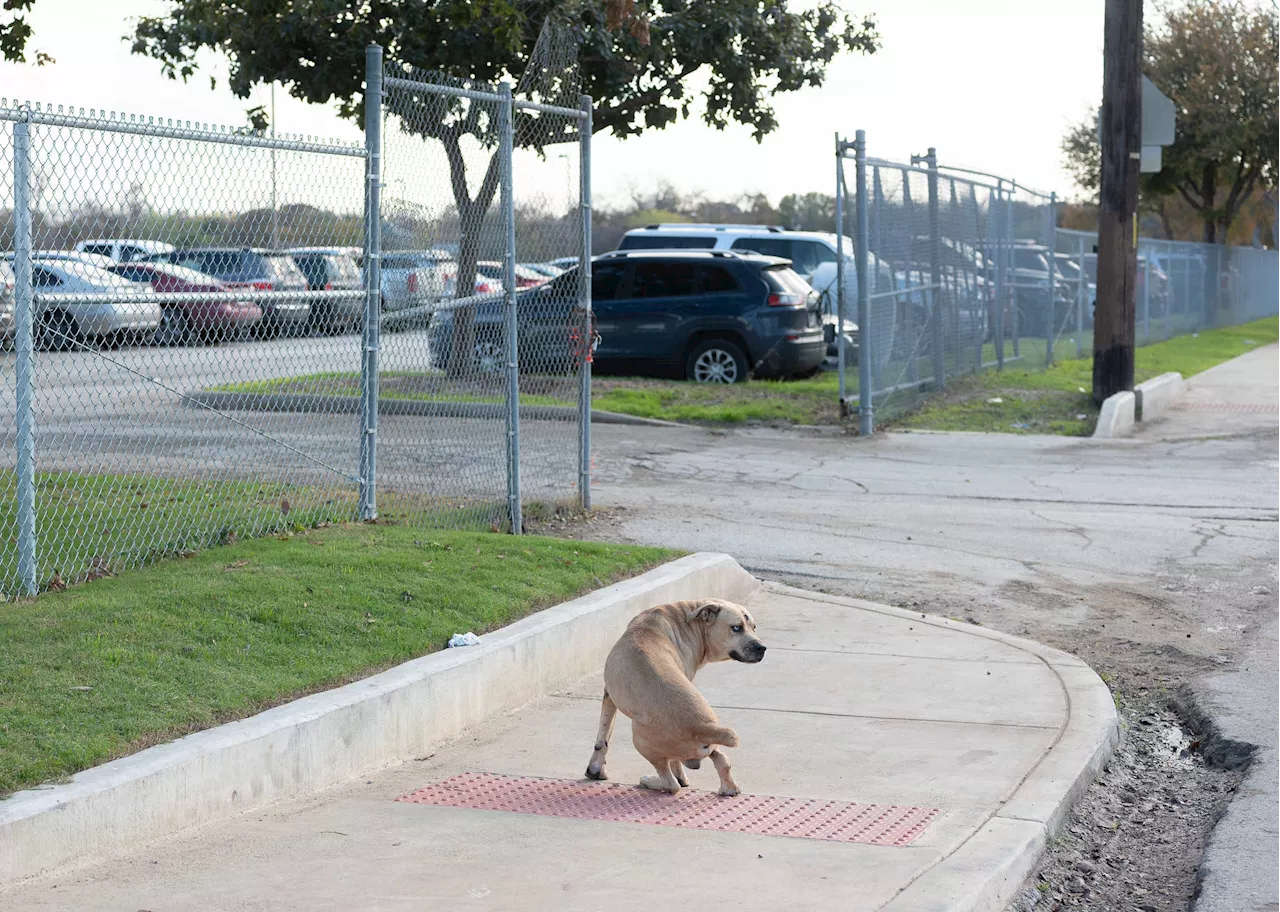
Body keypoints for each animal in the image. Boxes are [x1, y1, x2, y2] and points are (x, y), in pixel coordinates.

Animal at [586, 599, 762, 789]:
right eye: (736, 627)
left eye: (753, 627)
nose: (762, 648)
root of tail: (703, 726)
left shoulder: (609, 695)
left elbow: (603, 736)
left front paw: (596, 769)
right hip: (710, 740)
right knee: (721, 760)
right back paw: (728, 789)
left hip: (640, 738)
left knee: (672, 783)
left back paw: (652, 781)